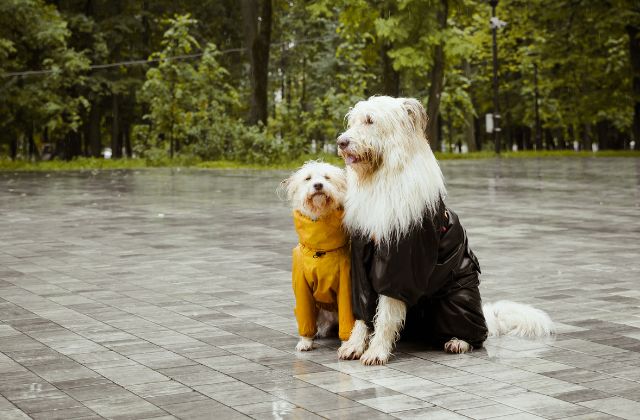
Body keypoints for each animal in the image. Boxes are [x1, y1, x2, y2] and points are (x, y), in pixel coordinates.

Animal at [282, 161, 358, 352]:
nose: (318, 185)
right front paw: (305, 341)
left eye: (327, 177)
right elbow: (305, 316)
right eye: (308, 178)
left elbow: (347, 318)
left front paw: (346, 343)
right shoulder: (302, 289)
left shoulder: (345, 286)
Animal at [338, 97, 552, 366]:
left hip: (456, 300)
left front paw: (376, 351)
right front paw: (355, 345)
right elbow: (363, 311)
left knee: (477, 337)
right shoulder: (361, 259)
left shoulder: (400, 265)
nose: (341, 142)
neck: (382, 178)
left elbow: (386, 313)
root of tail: (487, 318)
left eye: (370, 120)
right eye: (353, 121)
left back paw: (459, 341)